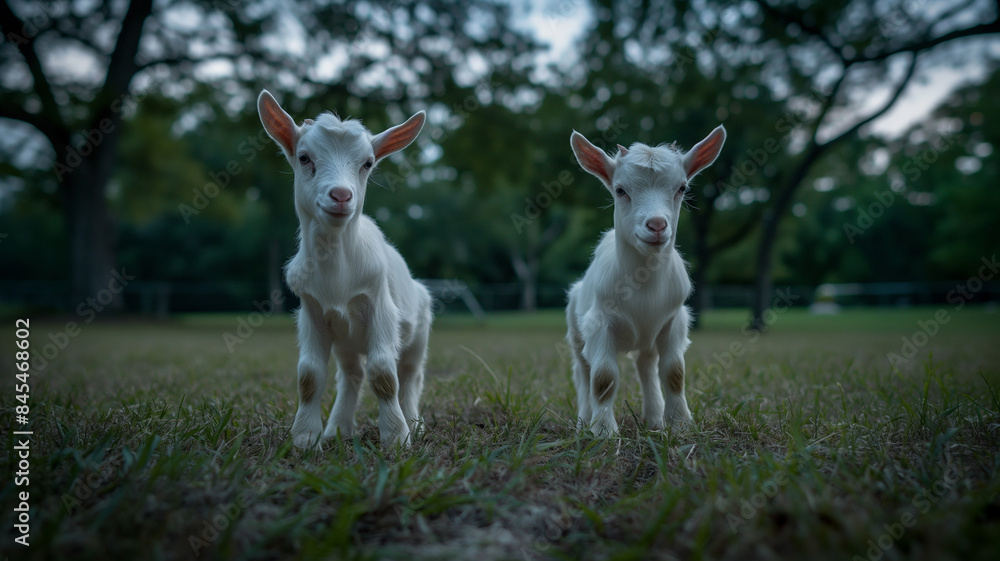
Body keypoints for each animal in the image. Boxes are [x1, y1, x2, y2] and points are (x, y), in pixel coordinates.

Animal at [257, 90, 432, 449]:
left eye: (367, 163)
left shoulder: (381, 307)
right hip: (347, 342)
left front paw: (397, 437)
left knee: (410, 375)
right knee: (352, 374)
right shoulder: (312, 311)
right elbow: (309, 374)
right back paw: (338, 428)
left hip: (419, 332)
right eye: (304, 157)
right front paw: (305, 438)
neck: (337, 271)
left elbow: (384, 373)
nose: (340, 195)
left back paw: (415, 423)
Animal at [566, 125, 726, 436]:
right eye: (620, 190)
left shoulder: (674, 321)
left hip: (648, 338)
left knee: (646, 366)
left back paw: (655, 419)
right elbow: (603, 377)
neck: (644, 284)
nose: (657, 225)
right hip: (576, 330)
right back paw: (583, 420)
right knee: (582, 370)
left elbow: (674, 372)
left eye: (682, 187)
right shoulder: (599, 323)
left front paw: (680, 424)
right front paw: (603, 431)